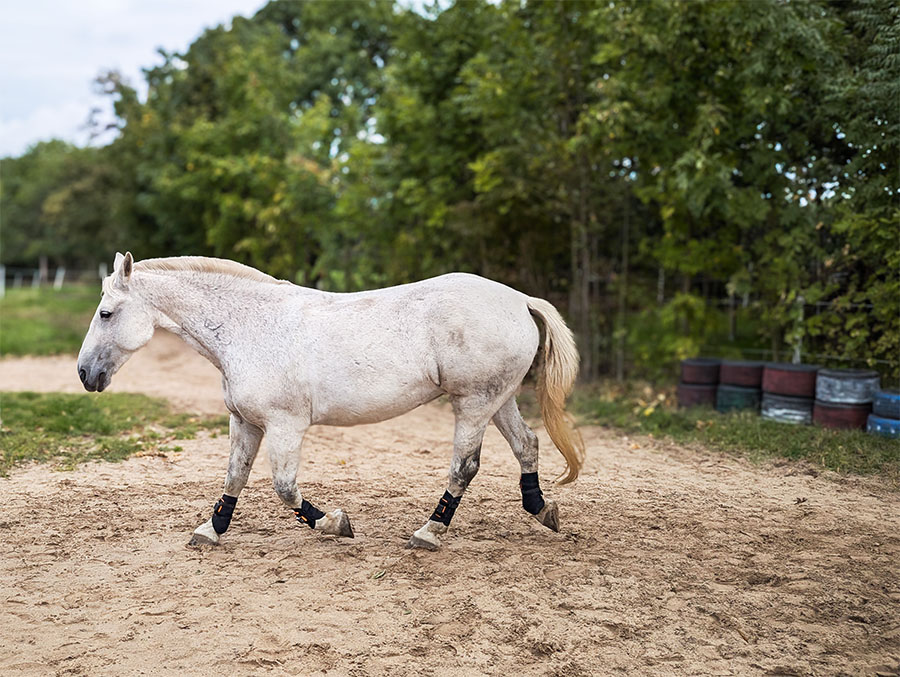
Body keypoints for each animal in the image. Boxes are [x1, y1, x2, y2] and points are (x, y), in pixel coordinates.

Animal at [77, 254, 584, 548]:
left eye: (106, 313)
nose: (84, 374)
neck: (250, 327)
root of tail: (518, 299)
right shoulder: (245, 422)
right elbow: (235, 476)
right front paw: (210, 530)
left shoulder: (285, 425)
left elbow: (284, 488)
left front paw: (335, 523)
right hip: (498, 400)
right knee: (527, 445)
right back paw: (544, 512)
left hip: (474, 403)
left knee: (465, 466)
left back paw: (428, 533)